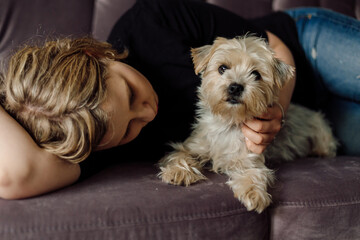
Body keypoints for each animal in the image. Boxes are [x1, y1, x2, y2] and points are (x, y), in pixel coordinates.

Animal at [158, 35, 338, 212]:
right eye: (222, 68)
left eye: (256, 74)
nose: (235, 87)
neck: (229, 122)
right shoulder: (192, 146)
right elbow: (179, 155)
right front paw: (178, 172)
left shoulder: (250, 159)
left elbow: (253, 175)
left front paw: (254, 194)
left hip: (322, 133)